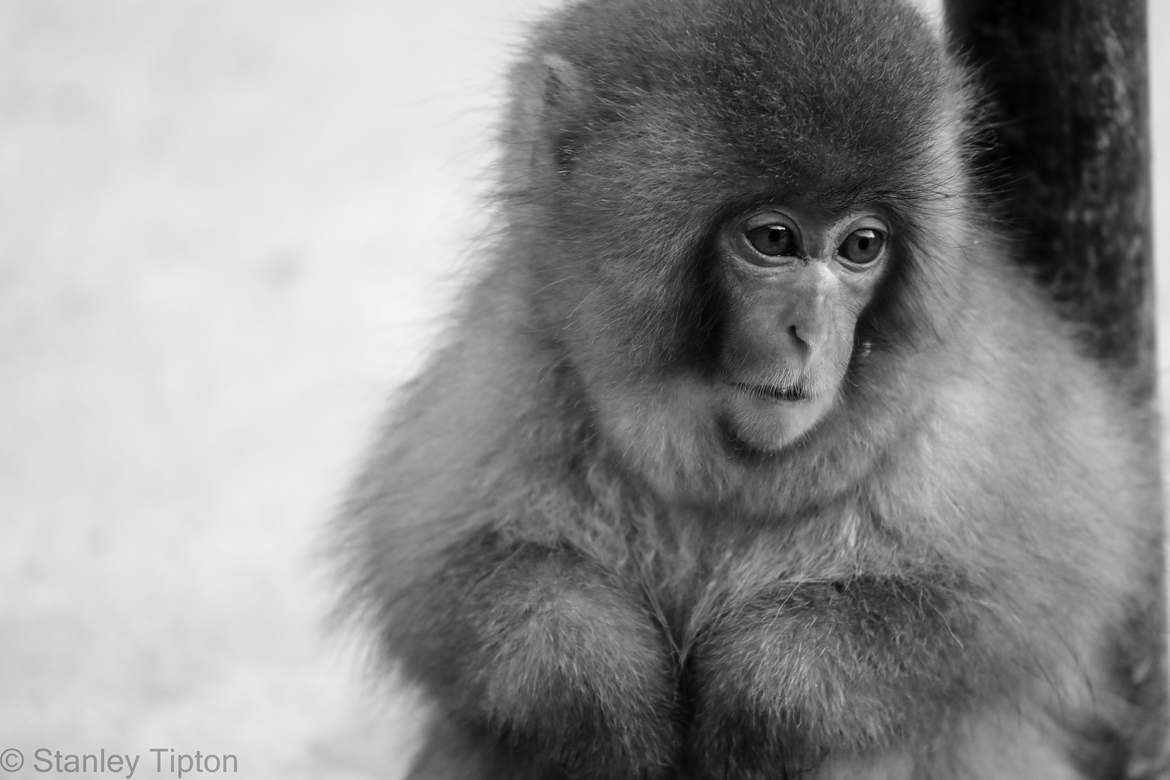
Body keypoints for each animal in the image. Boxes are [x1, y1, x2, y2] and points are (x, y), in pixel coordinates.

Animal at [334, 0, 1166, 778]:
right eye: (773, 240)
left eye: (862, 245)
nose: (812, 334)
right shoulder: (521, 359)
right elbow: (440, 573)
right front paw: (606, 692)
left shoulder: (971, 408)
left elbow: (1025, 599)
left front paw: (766, 693)